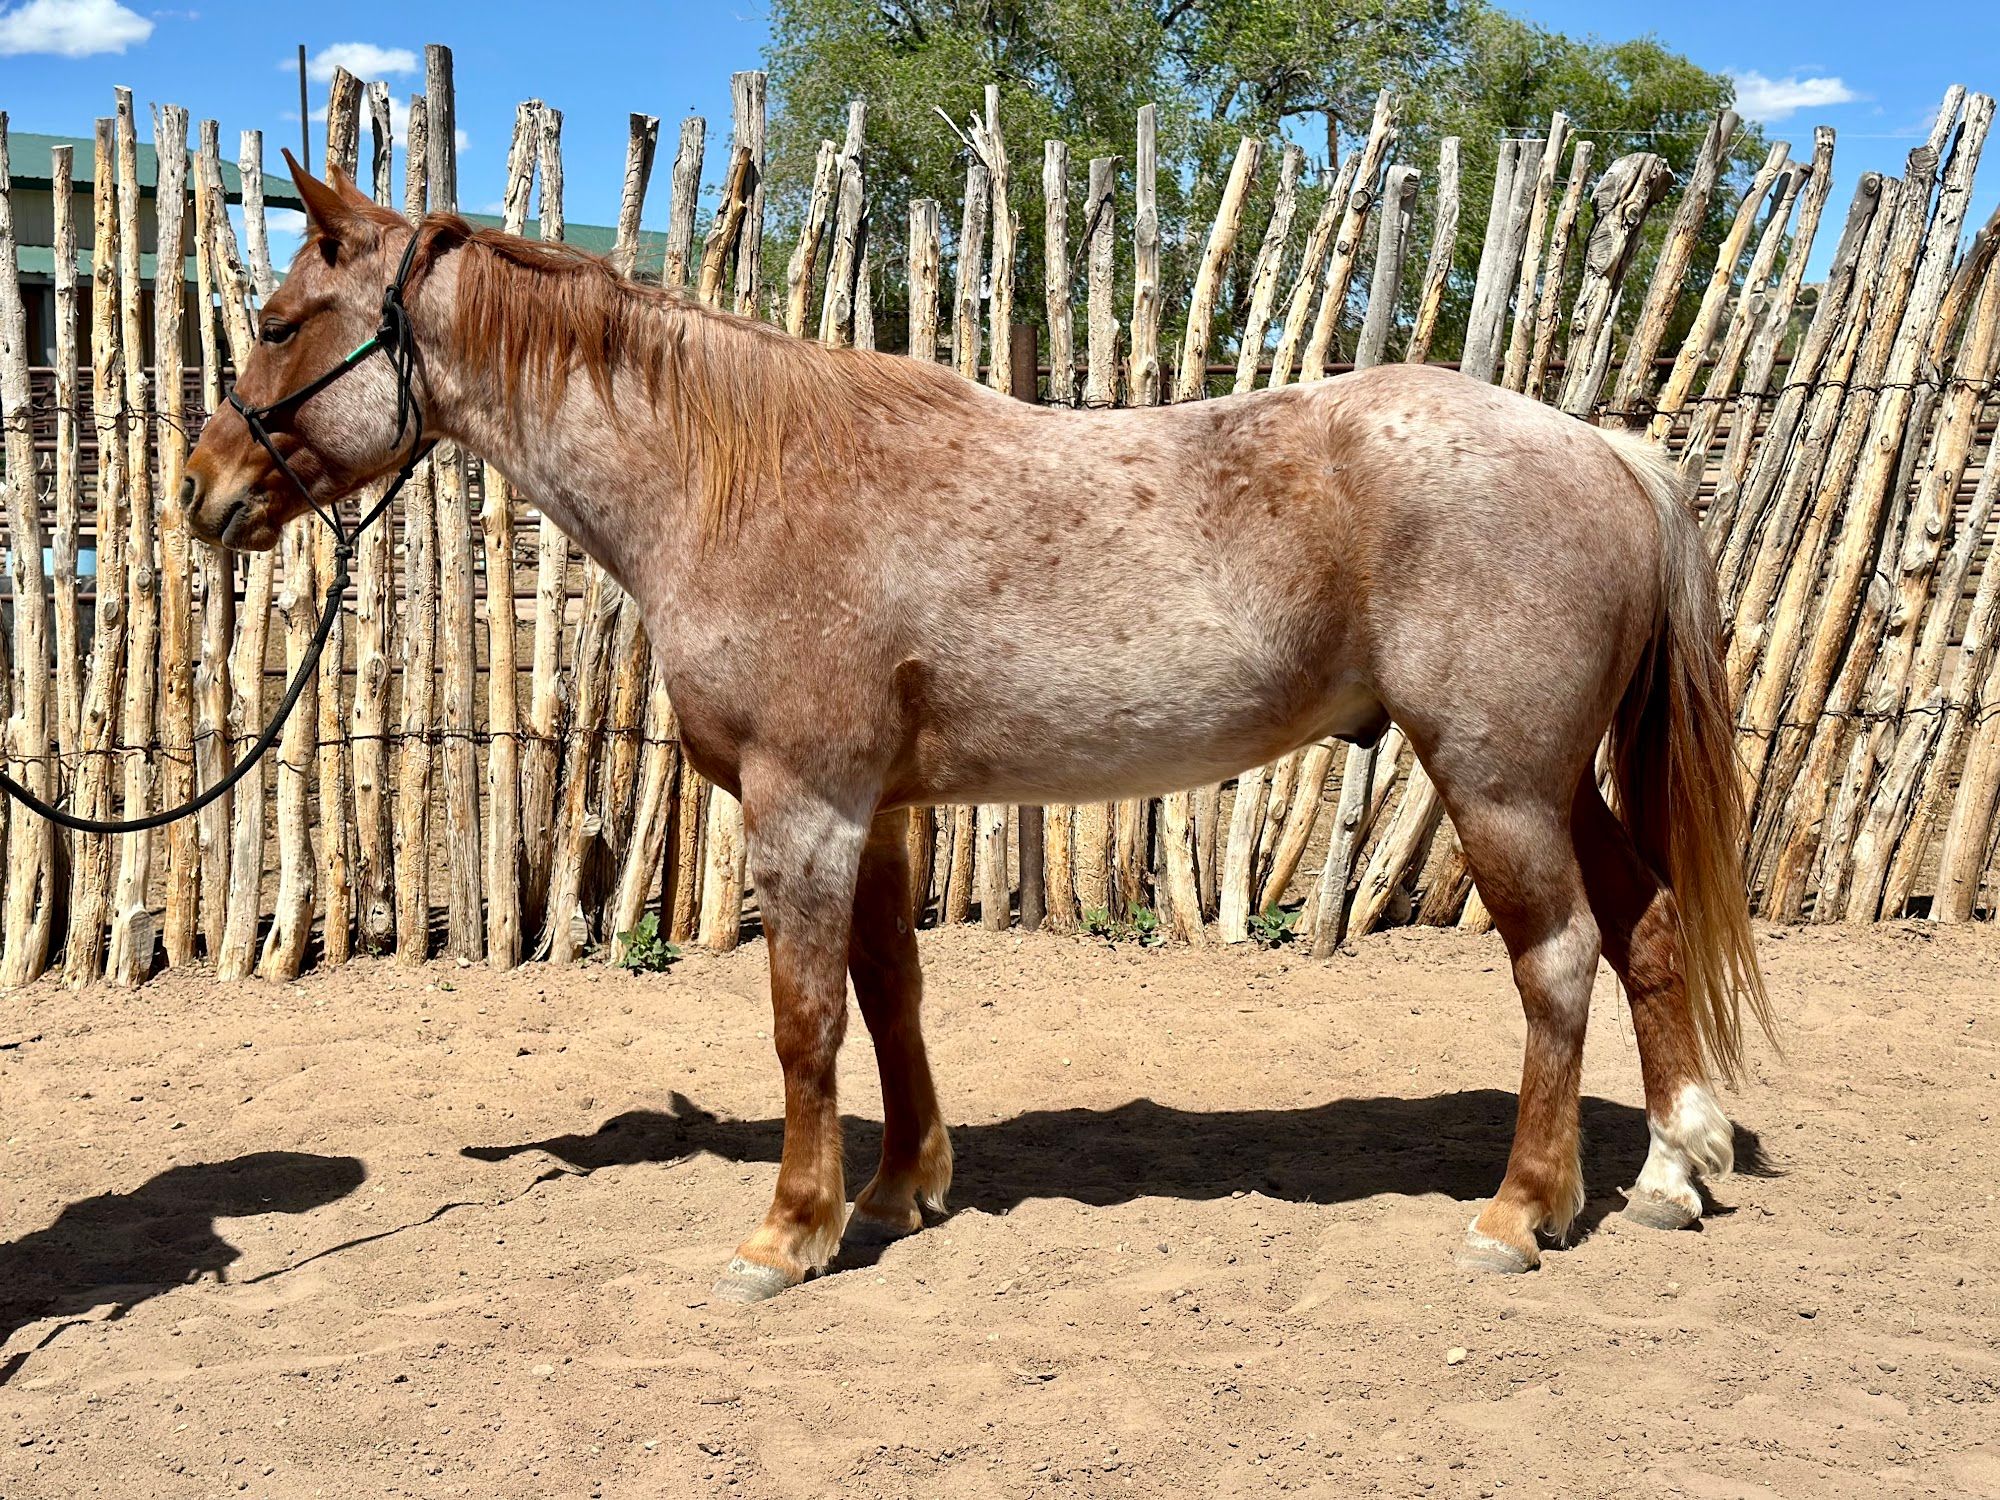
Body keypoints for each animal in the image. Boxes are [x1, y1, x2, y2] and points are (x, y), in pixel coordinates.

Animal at [183, 161, 1773, 1302]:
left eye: (275, 323)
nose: (203, 491)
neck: (736, 477)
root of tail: (1598, 443)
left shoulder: (804, 806)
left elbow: (805, 1019)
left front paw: (791, 1233)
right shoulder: (880, 810)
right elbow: (892, 994)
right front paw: (900, 1190)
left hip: (1496, 781)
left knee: (1557, 960)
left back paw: (1520, 1210)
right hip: (1556, 780)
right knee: (1645, 927)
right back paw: (1670, 1168)